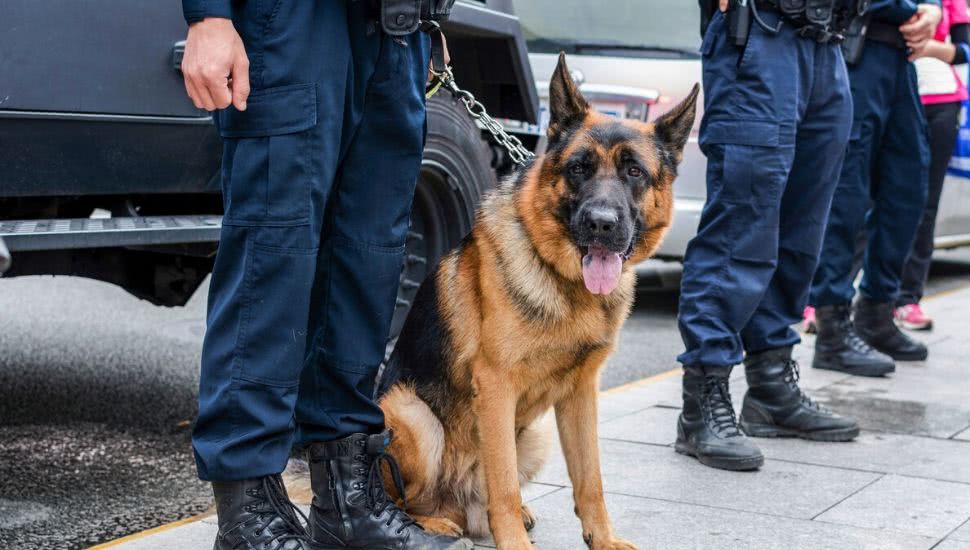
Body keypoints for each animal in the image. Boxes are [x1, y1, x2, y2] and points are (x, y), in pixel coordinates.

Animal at [376, 54, 696, 548]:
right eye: (579, 168)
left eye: (634, 172)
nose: (601, 223)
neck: (567, 285)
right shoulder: (496, 387)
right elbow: (503, 484)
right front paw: (513, 541)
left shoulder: (582, 393)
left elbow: (591, 477)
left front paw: (602, 538)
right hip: (411, 414)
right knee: (407, 498)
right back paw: (433, 526)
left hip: (535, 435)